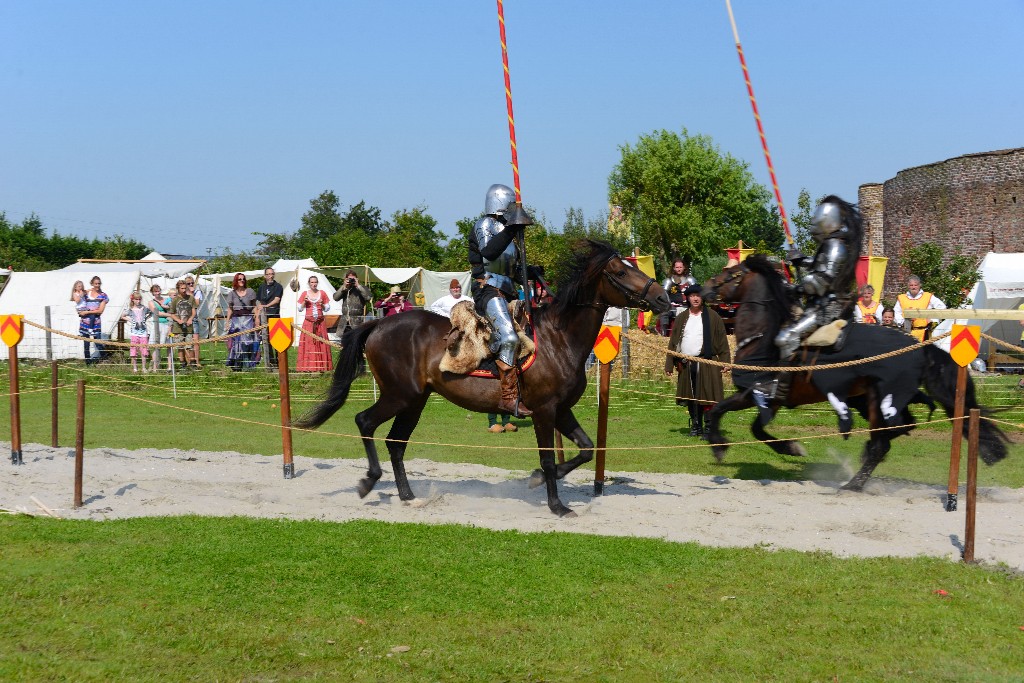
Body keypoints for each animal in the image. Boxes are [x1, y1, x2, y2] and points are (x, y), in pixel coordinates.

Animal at [292, 242, 667, 516]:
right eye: (620, 270)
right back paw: (369, 481)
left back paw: (409, 496)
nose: (663, 297)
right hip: (399, 396)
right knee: (365, 421)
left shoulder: (561, 410)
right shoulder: (545, 411)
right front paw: (557, 505)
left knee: (396, 443)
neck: (558, 339)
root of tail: (378, 324)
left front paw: (537, 481)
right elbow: (548, 458)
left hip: (415, 401)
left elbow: (587, 450)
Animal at [704, 253, 1007, 489]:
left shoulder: (755, 394)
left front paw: (720, 447)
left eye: (730, 274)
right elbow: (754, 427)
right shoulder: (771, 401)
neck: (762, 337)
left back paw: (854, 484)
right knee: (900, 428)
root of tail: (918, 347)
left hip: (874, 400)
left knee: (883, 442)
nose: (704, 288)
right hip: (867, 399)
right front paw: (790, 447)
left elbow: (720, 412)